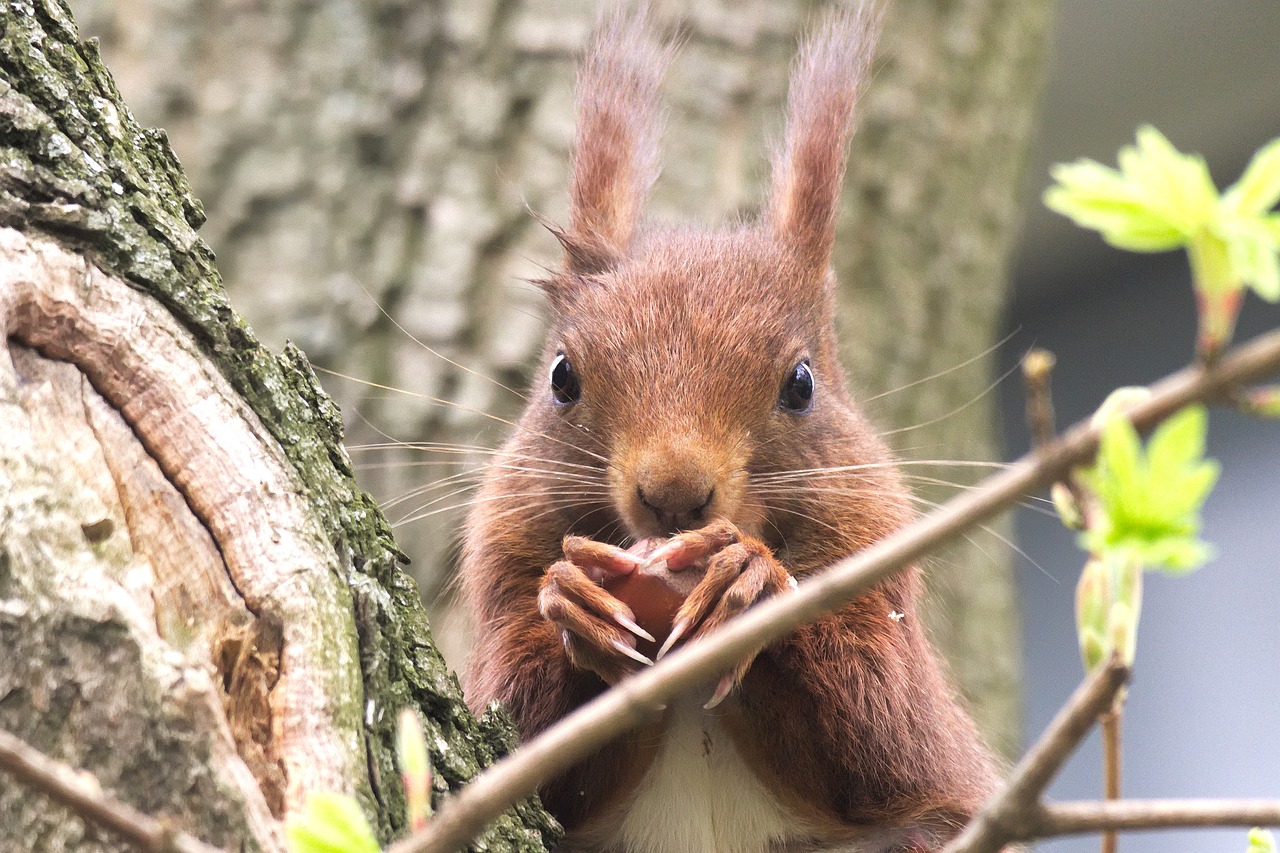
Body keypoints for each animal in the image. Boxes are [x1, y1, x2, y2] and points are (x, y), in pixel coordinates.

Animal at [460, 6, 998, 850]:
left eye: (801, 384)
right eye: (561, 378)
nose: (673, 495)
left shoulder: (880, 567)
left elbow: (879, 727)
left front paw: (750, 579)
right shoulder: (503, 557)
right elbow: (523, 735)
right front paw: (572, 598)